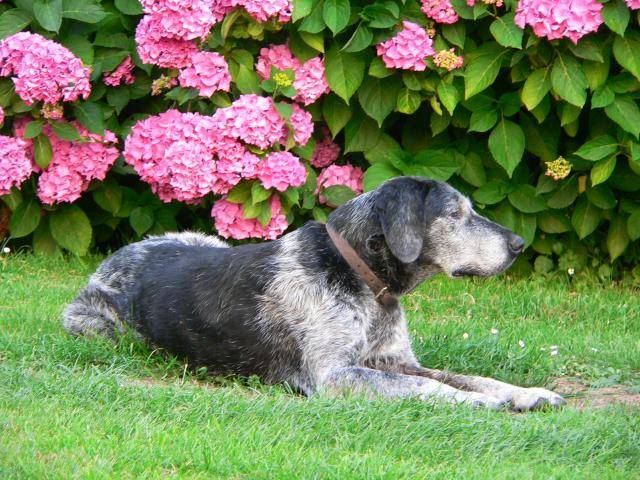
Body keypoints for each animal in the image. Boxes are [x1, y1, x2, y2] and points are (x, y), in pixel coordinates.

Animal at [64, 176, 565, 411]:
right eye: (456, 214)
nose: (519, 245)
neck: (364, 280)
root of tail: (114, 257)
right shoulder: (336, 376)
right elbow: (428, 387)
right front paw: (482, 404)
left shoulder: (394, 361)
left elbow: (465, 376)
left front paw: (526, 393)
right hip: (98, 327)